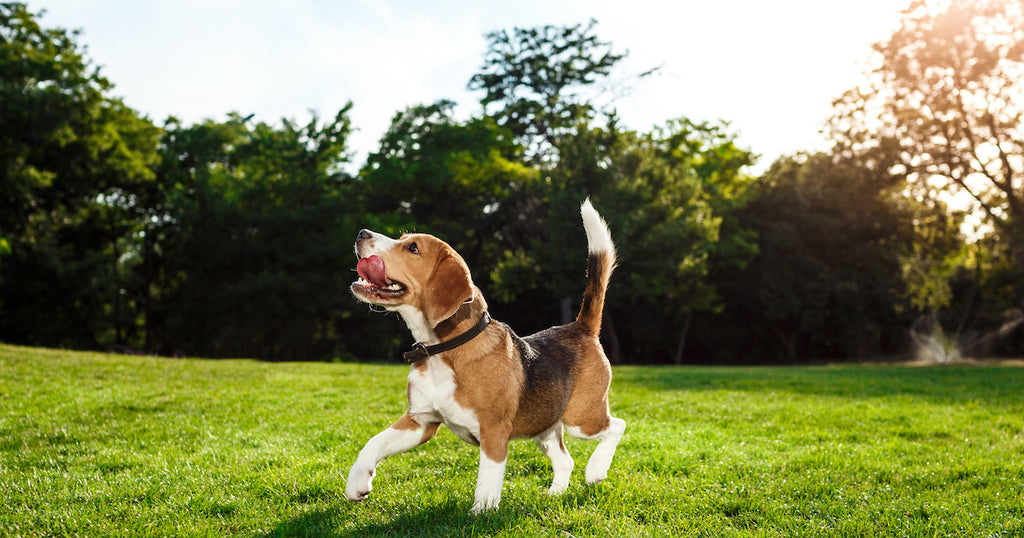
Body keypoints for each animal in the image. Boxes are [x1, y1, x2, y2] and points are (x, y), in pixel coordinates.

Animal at [348, 196, 626, 512]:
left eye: (413, 248)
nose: (361, 233)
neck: (443, 350)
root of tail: (579, 327)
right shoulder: (420, 421)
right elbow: (373, 443)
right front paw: (357, 483)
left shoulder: (493, 431)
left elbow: (487, 479)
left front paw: (481, 513)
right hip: (545, 426)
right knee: (565, 460)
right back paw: (555, 494)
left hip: (582, 419)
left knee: (617, 426)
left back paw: (596, 470)